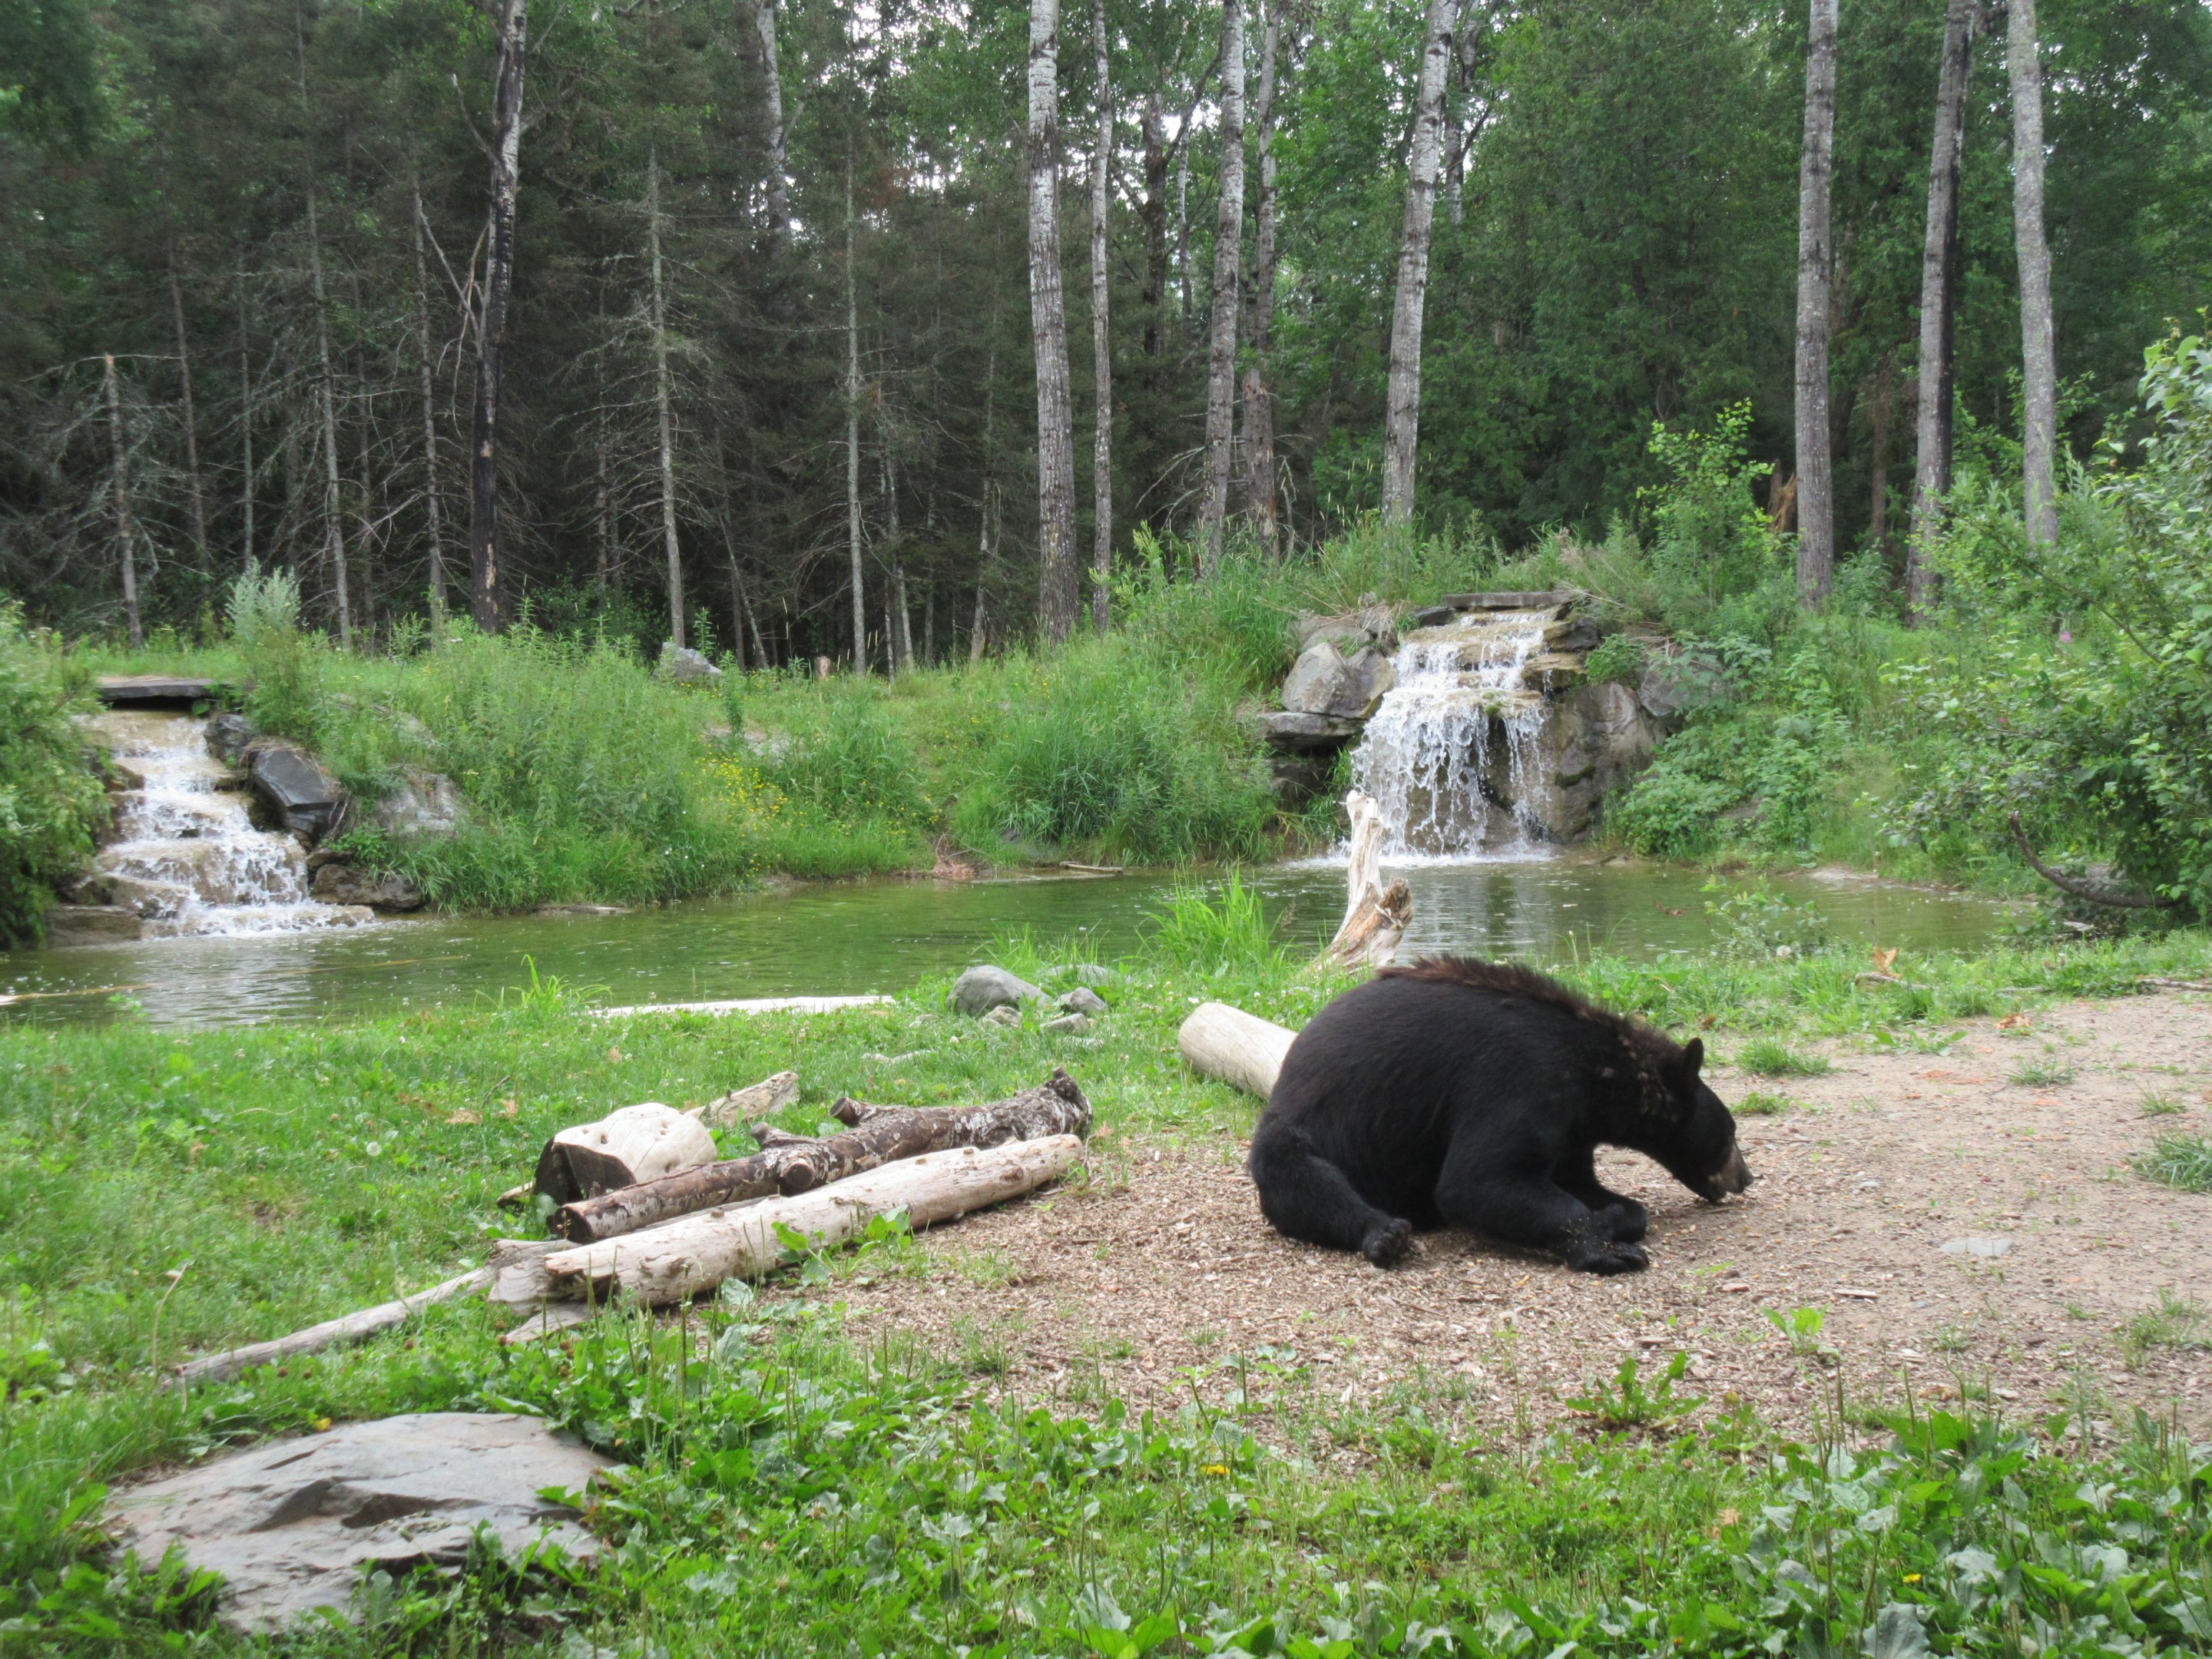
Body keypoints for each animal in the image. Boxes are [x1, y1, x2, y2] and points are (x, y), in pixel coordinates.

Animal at [1247, 956, 1751, 1273]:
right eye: (1731, 1133)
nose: (1746, 1177)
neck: (1593, 1074)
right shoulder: (1520, 1079)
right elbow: (1478, 1179)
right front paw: (1609, 1250)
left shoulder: (1573, 1126)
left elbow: (1574, 1178)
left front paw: (1614, 1215)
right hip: (1297, 1133)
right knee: (1306, 1181)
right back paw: (1385, 1233)